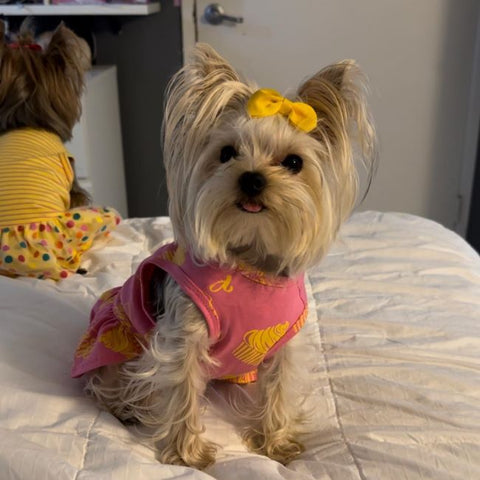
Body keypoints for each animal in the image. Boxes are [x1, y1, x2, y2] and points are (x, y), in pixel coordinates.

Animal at [72, 45, 376, 468]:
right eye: (227, 153)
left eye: (294, 162)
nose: (252, 178)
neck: (250, 258)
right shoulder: (183, 335)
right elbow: (181, 386)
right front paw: (186, 454)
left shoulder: (284, 341)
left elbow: (279, 386)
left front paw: (277, 443)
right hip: (116, 336)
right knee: (105, 382)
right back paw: (125, 407)